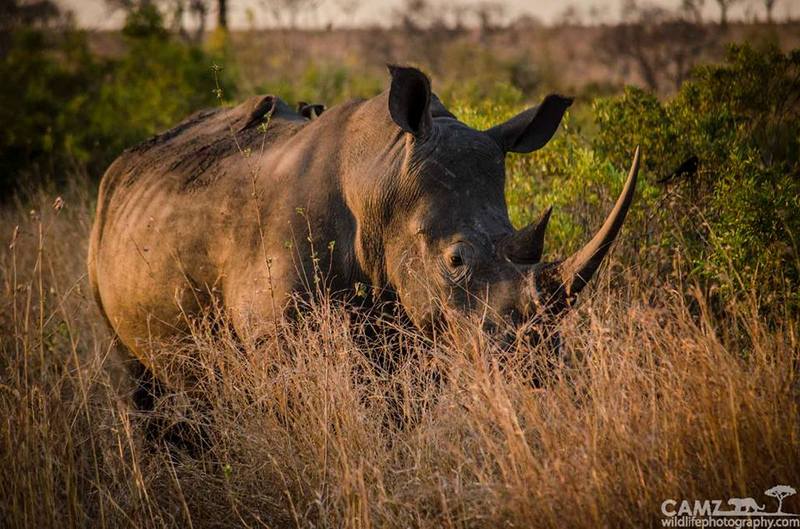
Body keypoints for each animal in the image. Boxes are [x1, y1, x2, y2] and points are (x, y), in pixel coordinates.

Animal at [88, 66, 639, 394]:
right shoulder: (275, 340)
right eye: (456, 260)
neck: (381, 175)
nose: (538, 368)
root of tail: (122, 166)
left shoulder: (419, 328)